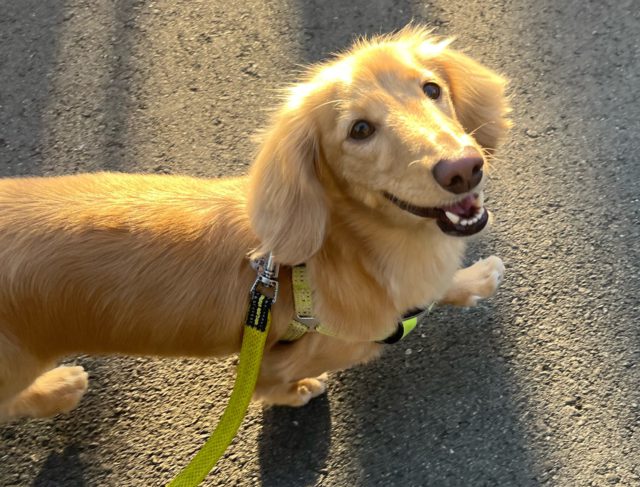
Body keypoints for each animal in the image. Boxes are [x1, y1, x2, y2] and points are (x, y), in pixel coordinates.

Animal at [0, 26, 510, 420]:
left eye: (431, 89)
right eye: (360, 130)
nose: (463, 168)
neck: (354, 252)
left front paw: (473, 278)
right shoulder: (275, 362)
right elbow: (271, 386)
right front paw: (298, 393)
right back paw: (56, 389)